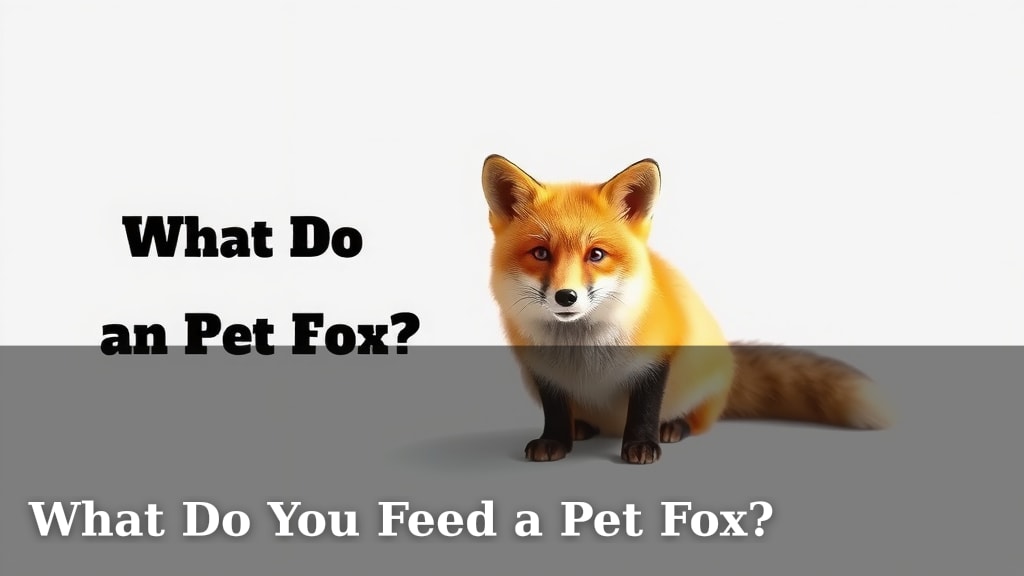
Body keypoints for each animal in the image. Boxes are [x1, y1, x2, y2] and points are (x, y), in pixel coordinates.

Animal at [481, 154, 892, 465]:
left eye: (596, 255)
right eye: (540, 253)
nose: (566, 297)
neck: (583, 350)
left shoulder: (657, 356)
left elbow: (645, 408)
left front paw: (641, 444)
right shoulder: (540, 369)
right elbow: (555, 409)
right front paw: (556, 439)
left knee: (698, 420)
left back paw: (674, 427)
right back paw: (582, 427)